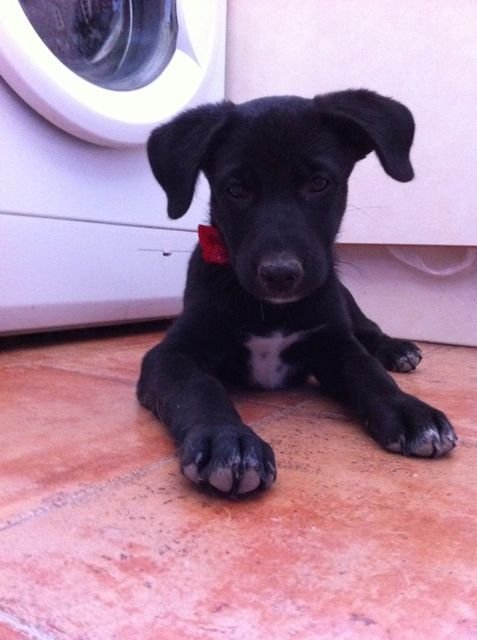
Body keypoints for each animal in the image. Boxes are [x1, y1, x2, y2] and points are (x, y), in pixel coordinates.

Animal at [137, 89, 457, 497]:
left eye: (319, 183)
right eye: (236, 190)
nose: (280, 274)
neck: (273, 311)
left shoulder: (334, 341)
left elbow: (368, 373)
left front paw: (408, 410)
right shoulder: (171, 353)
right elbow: (196, 387)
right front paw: (228, 440)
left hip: (344, 300)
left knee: (369, 330)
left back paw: (397, 350)